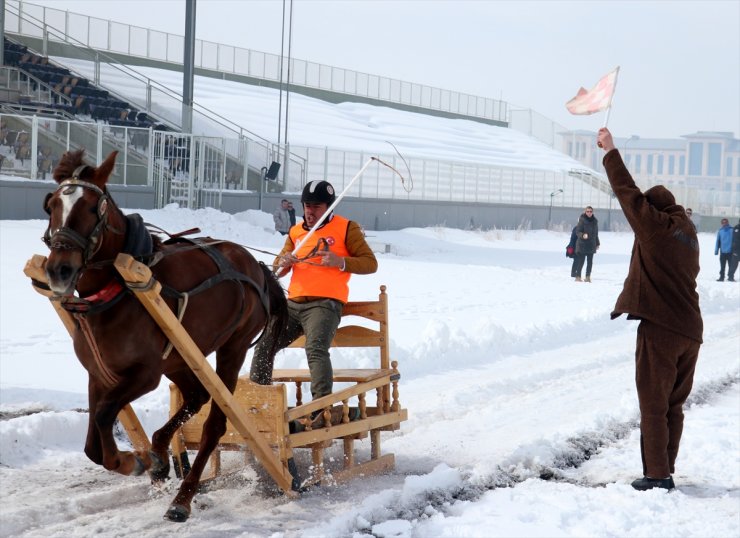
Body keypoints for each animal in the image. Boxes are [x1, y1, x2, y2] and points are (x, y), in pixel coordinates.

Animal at [40, 148, 290, 520]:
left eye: (91, 207)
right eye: (52, 204)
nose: (59, 269)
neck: (115, 292)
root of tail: (255, 265)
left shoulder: (145, 374)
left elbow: (104, 415)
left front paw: (130, 462)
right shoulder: (98, 373)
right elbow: (92, 445)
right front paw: (146, 461)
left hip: (233, 347)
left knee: (214, 423)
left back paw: (182, 498)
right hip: (181, 357)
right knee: (196, 396)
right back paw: (159, 453)